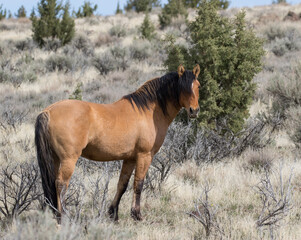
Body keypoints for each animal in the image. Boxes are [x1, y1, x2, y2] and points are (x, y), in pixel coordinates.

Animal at [34, 64, 199, 223]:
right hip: (69, 159)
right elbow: (138, 184)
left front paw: (113, 214)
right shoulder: (145, 156)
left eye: (197, 86)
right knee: (61, 184)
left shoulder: (130, 158)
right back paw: (62, 217)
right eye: (183, 87)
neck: (148, 111)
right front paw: (137, 215)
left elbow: (122, 184)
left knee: (53, 183)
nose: (194, 111)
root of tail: (48, 111)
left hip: (54, 158)